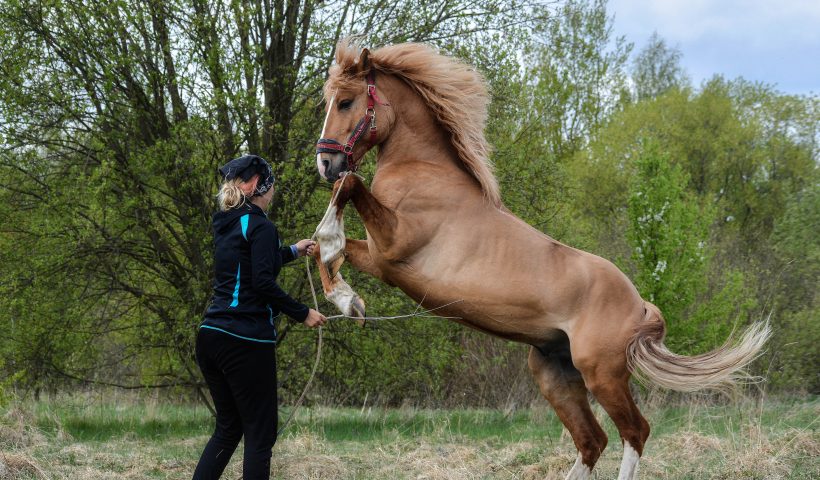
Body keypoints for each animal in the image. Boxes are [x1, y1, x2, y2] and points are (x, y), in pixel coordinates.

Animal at [310, 41, 772, 480]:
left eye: (346, 101)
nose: (325, 162)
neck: (424, 172)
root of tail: (640, 305)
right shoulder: (381, 260)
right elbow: (318, 245)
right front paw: (348, 301)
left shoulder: (394, 245)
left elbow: (348, 190)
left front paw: (338, 266)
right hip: (555, 374)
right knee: (592, 440)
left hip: (602, 375)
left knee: (634, 432)